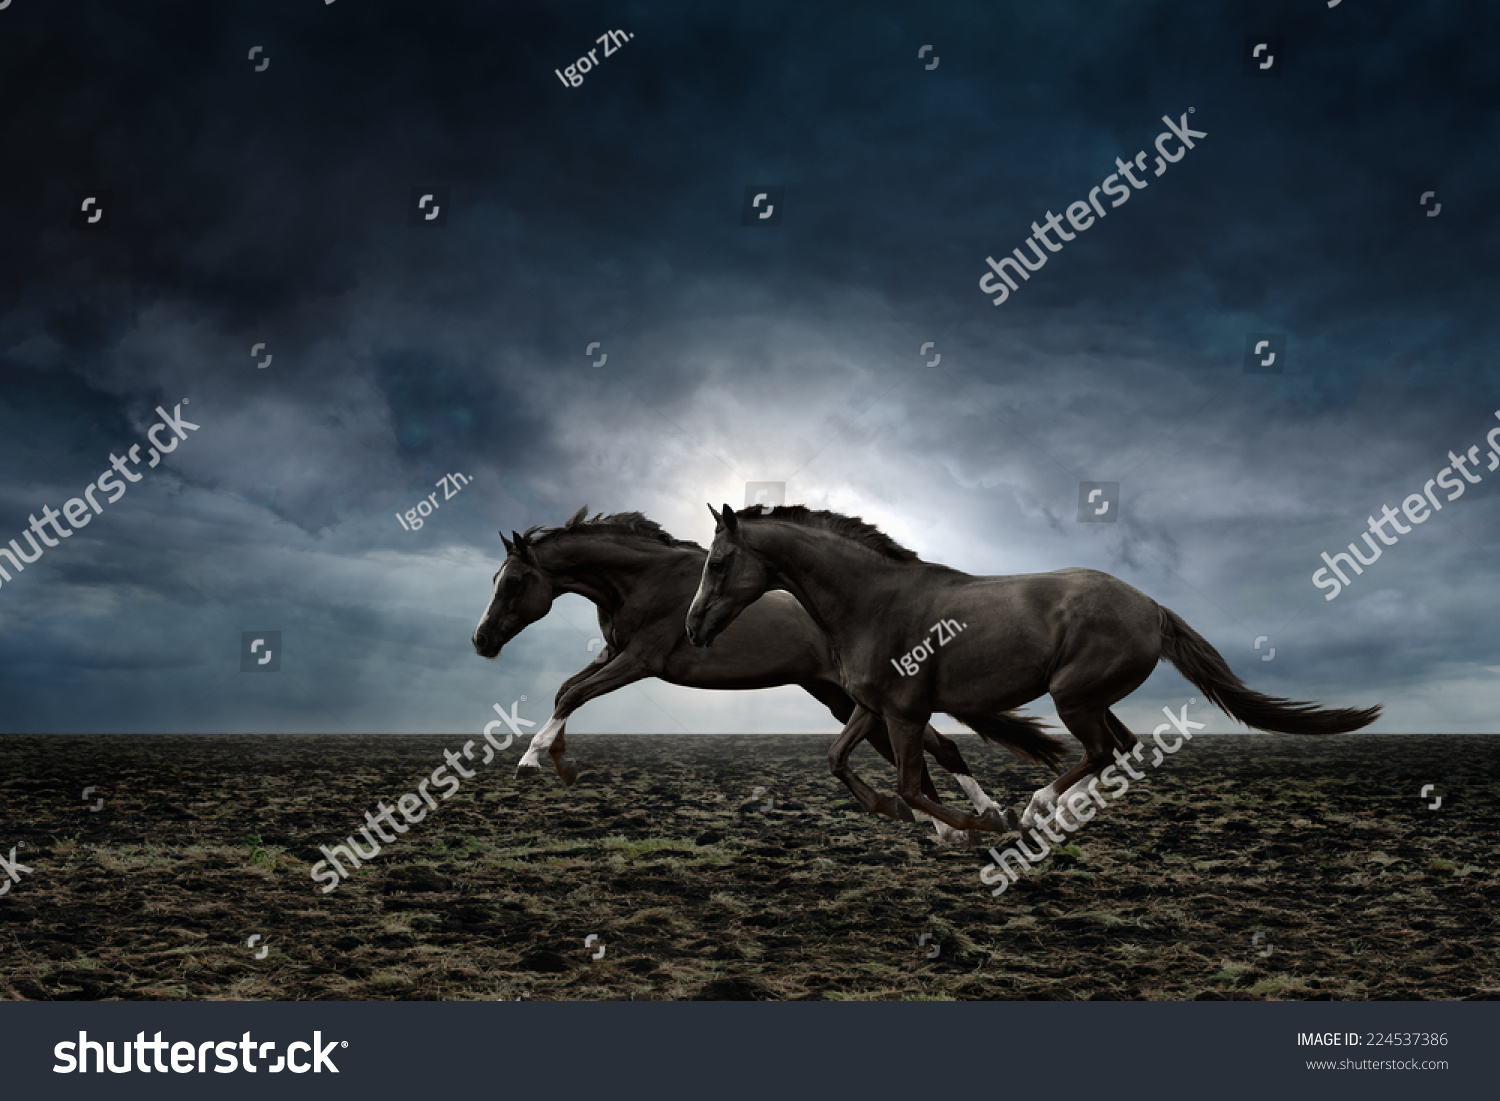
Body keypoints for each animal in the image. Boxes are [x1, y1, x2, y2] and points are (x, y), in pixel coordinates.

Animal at [471, 507, 1068, 843]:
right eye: (497, 579)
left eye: (514, 581)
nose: (481, 641)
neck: (641, 580)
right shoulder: (613, 653)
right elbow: (565, 690)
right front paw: (559, 762)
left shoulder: (639, 661)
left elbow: (574, 696)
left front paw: (530, 762)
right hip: (839, 696)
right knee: (925, 748)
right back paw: (951, 824)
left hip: (855, 697)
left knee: (938, 747)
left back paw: (981, 815)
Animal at [685, 504, 1381, 836]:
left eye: (718, 562)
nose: (693, 627)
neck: (872, 601)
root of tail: (1151, 606)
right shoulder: (870, 705)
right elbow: (836, 760)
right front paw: (899, 813)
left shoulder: (907, 711)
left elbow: (913, 785)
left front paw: (976, 824)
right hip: (1091, 697)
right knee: (1121, 750)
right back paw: (1059, 811)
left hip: (1073, 696)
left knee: (1102, 752)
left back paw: (1040, 805)